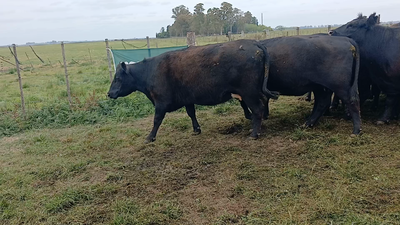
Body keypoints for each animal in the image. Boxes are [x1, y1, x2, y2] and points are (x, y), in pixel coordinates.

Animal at [108, 39, 278, 142]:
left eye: (117, 78)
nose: (109, 93)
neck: (149, 71)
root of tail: (253, 43)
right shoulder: (187, 99)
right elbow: (191, 113)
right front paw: (196, 129)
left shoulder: (161, 102)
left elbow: (157, 120)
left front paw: (150, 137)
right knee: (263, 104)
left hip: (249, 92)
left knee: (258, 109)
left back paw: (254, 134)